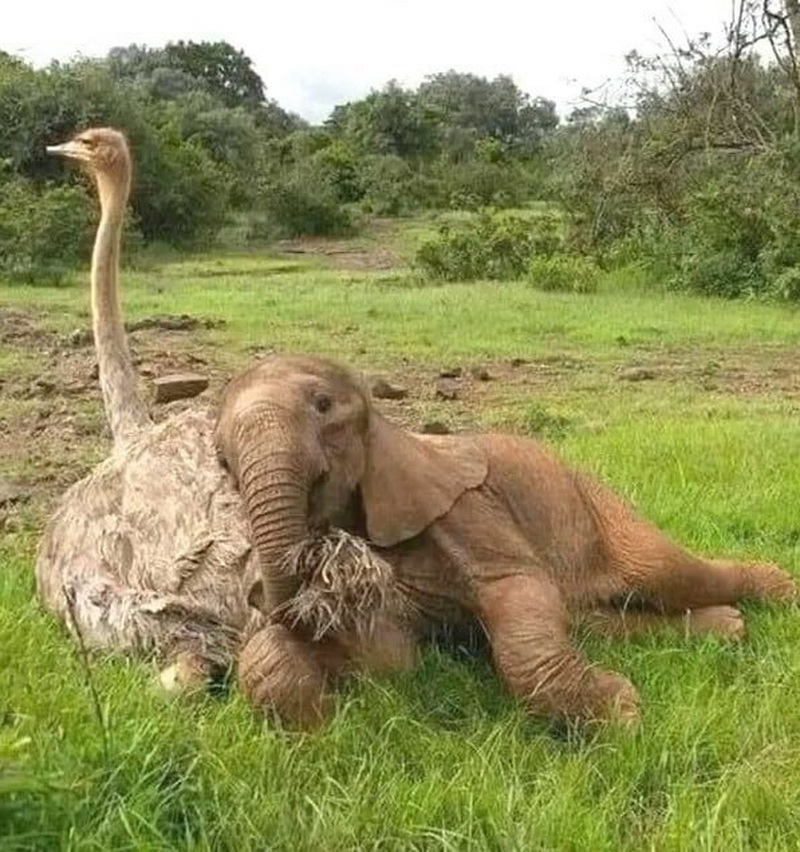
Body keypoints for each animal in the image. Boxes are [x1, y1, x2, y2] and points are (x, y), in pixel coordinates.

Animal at [216, 352, 796, 724]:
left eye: (322, 406)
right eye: (222, 458)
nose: (258, 596)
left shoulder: (469, 509)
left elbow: (517, 592)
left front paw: (623, 716)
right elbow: (391, 656)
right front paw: (318, 720)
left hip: (595, 506)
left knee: (665, 572)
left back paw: (778, 591)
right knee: (590, 618)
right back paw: (729, 628)